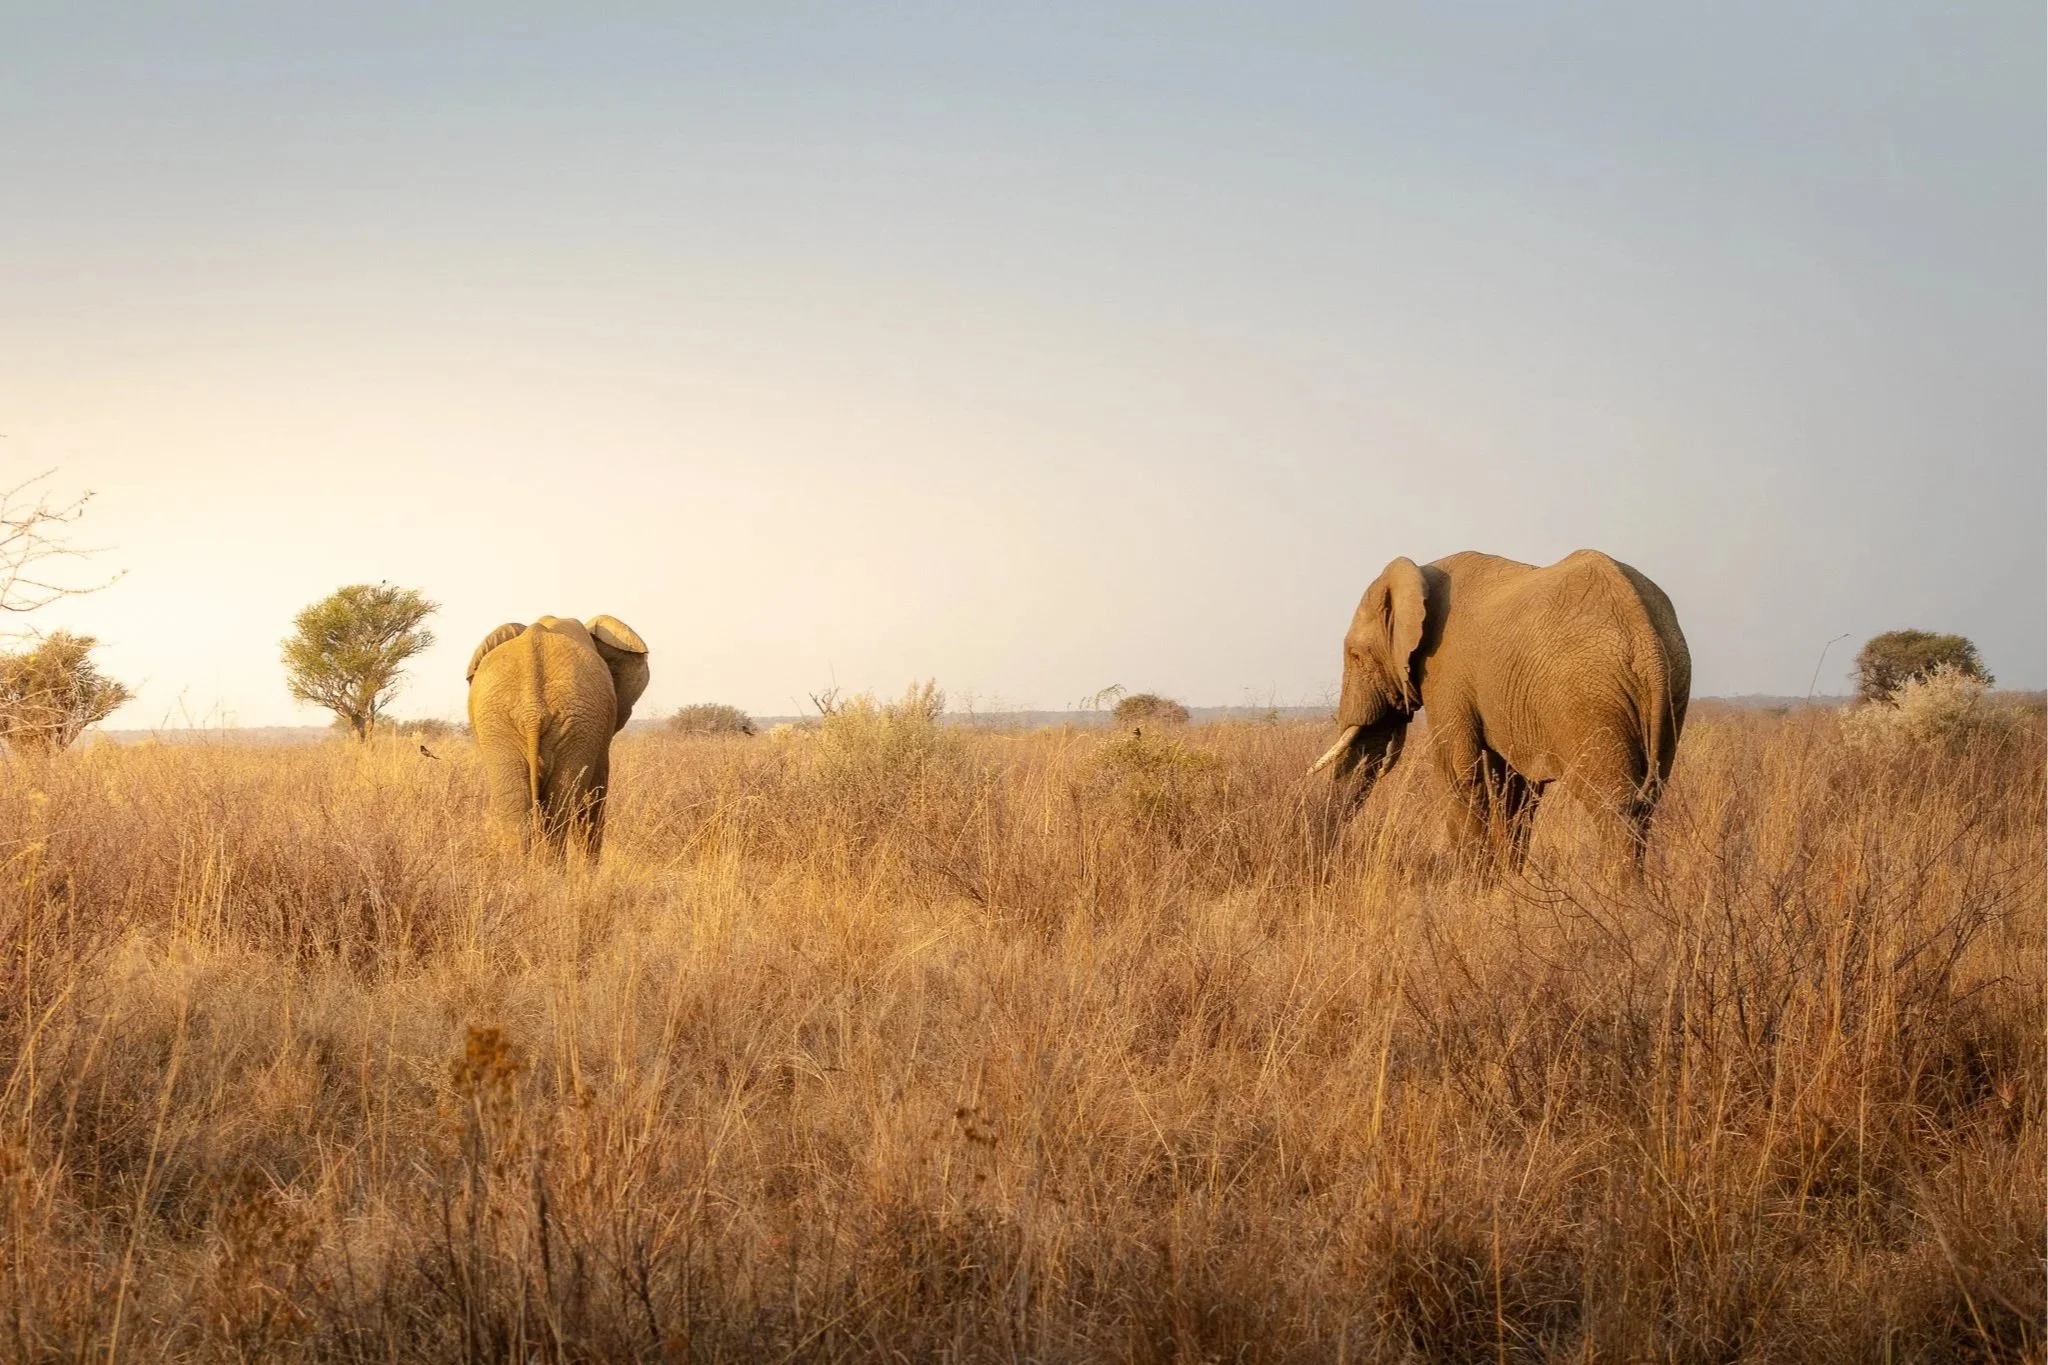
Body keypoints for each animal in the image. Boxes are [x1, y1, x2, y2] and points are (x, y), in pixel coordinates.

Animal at [466, 615, 650, 860]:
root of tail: (532, 710)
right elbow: (595, 796)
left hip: (506, 723)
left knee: (524, 813)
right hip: (569, 725)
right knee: (558, 812)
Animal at [1308, 550, 1690, 869]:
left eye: (1356, 655)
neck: (1419, 572)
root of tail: (1645, 633)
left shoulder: (1446, 671)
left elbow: (1457, 772)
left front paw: (1475, 885)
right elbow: (1513, 786)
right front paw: (1507, 883)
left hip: (1591, 699)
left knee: (1615, 806)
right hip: (1672, 692)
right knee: (1645, 803)